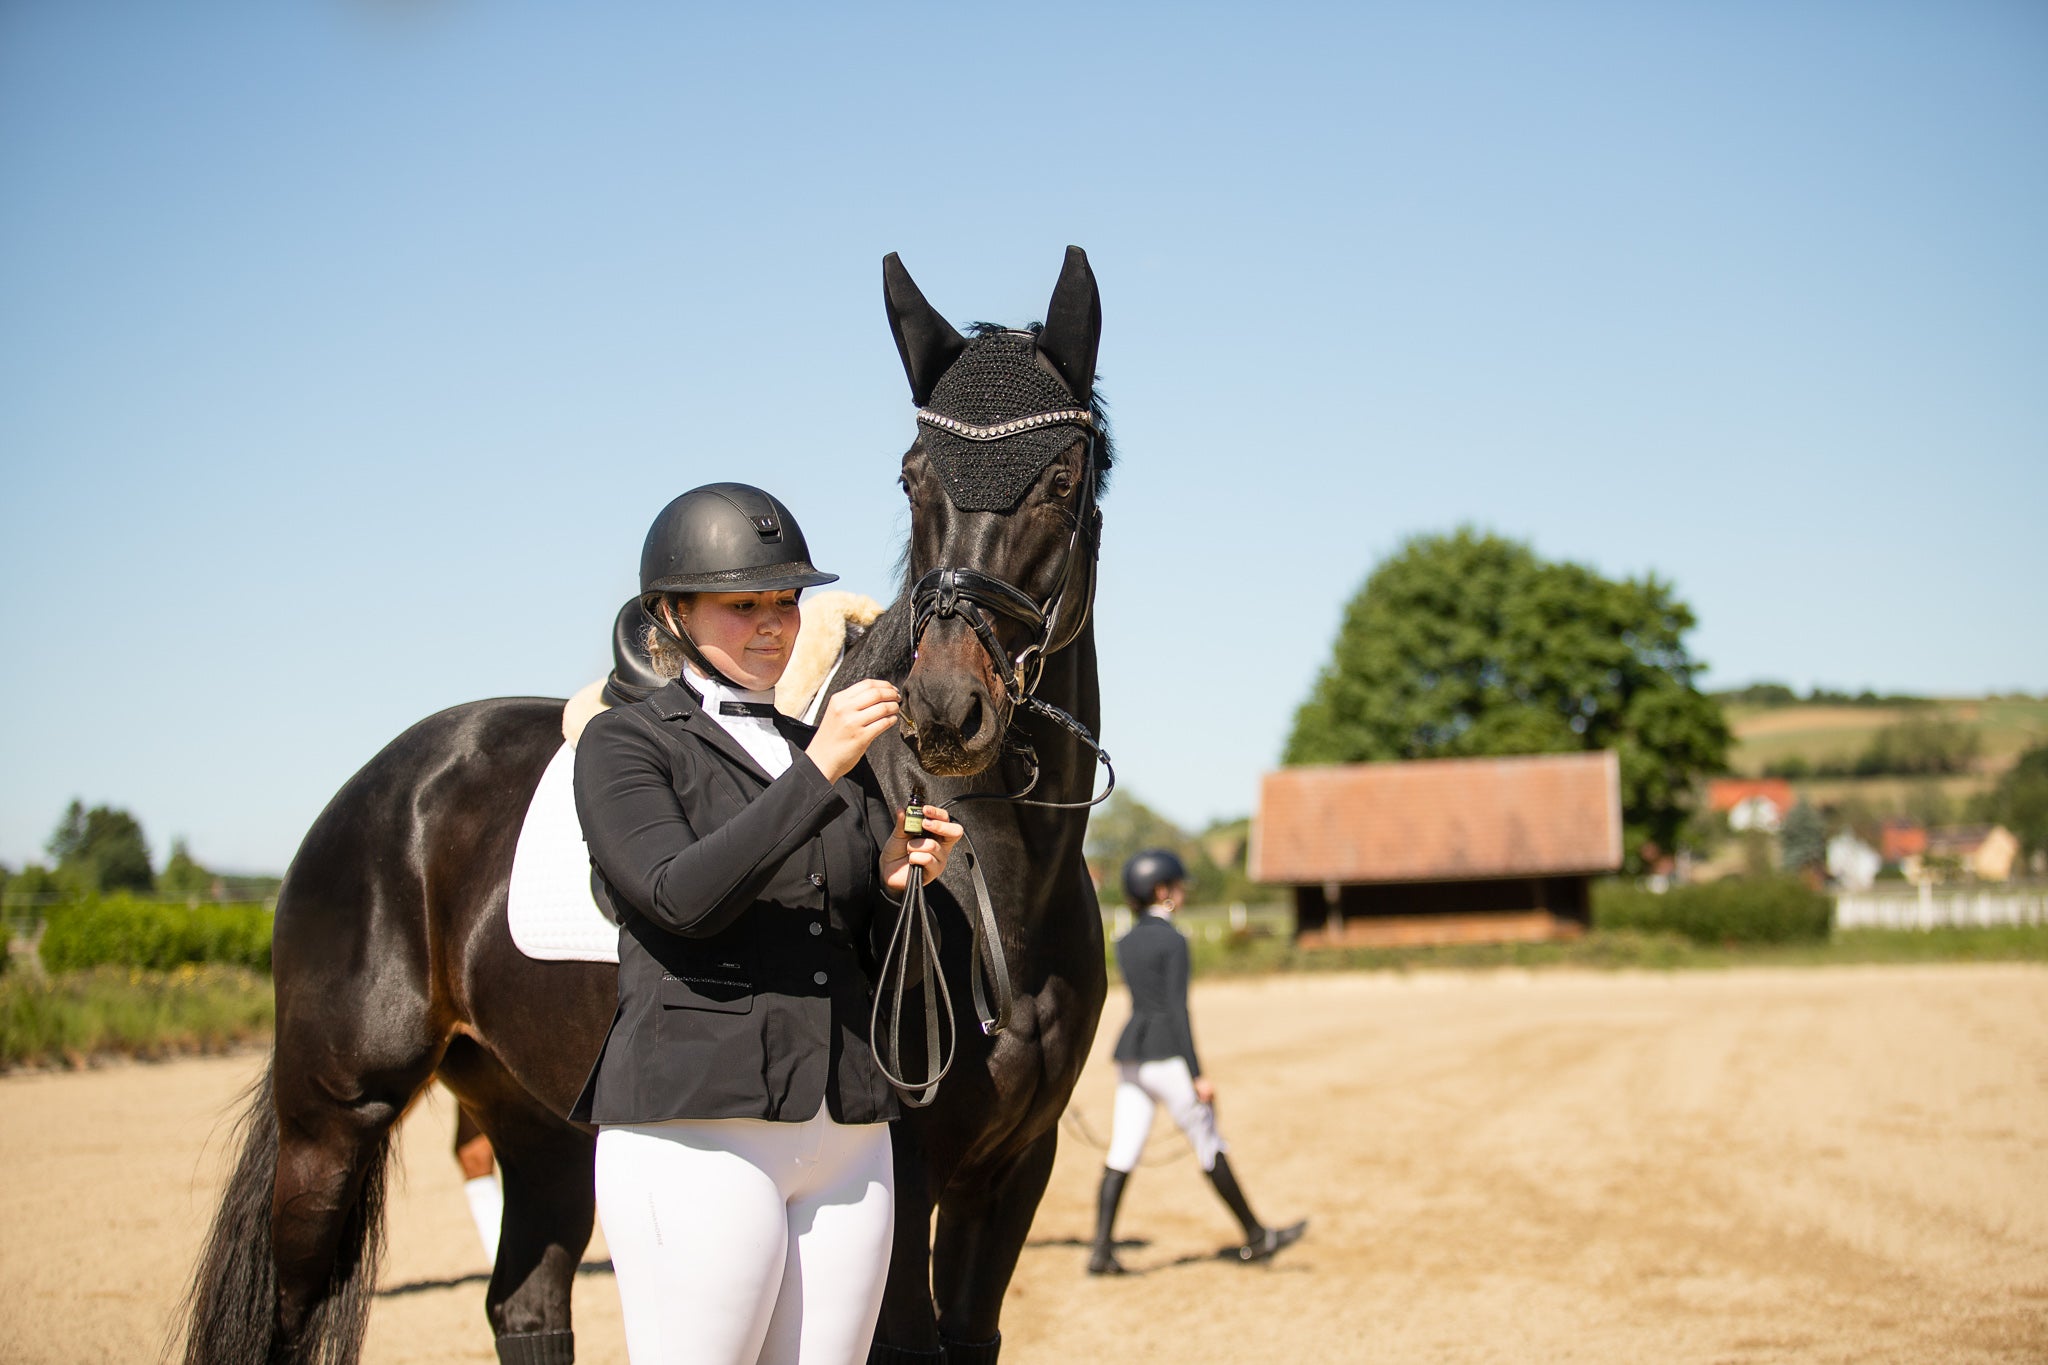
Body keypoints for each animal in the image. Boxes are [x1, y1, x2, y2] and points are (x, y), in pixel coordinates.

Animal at [188, 248, 1122, 1365]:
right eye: (914, 476)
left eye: (1062, 479)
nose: (944, 707)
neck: (999, 883)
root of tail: (379, 788)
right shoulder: (907, 1175)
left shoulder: (1011, 1173)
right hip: (333, 1120)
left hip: (536, 1122)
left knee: (525, 1303)